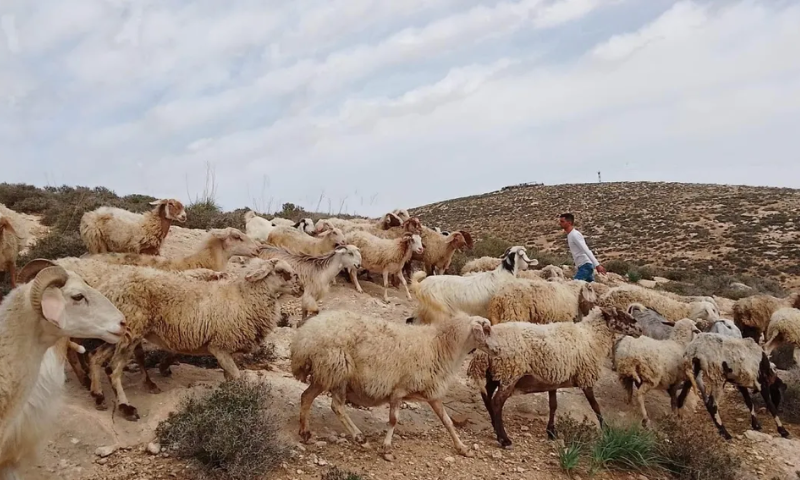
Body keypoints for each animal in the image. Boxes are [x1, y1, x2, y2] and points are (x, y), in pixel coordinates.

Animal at [290, 308, 490, 458]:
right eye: (487, 329)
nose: (495, 349)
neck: (440, 346)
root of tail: (304, 338)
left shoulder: (432, 394)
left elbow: (447, 421)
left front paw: (462, 448)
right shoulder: (399, 390)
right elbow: (393, 420)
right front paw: (386, 447)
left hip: (326, 373)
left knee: (306, 396)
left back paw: (305, 432)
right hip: (337, 368)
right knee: (336, 406)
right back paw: (360, 438)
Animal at [466, 308, 640, 446]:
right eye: (621, 315)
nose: (639, 329)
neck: (591, 337)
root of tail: (481, 353)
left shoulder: (554, 378)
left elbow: (553, 405)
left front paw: (551, 431)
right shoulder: (585, 376)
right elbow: (595, 406)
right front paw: (606, 429)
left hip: (494, 374)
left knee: (487, 396)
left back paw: (495, 428)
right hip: (510, 373)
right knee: (497, 402)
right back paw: (504, 439)